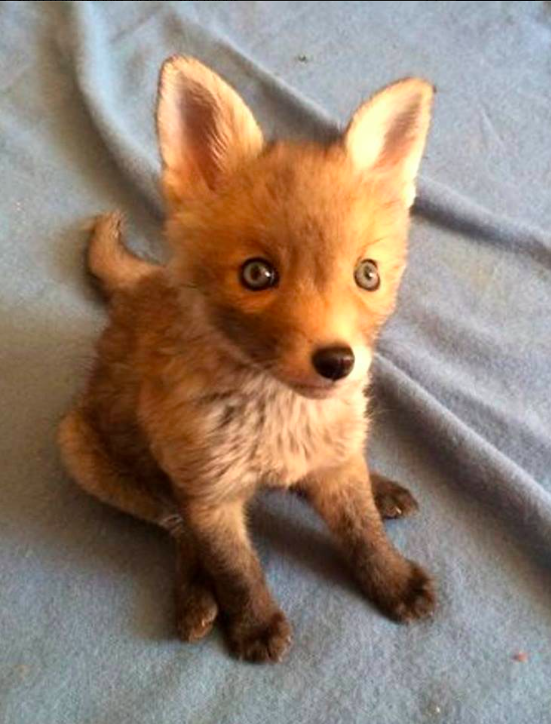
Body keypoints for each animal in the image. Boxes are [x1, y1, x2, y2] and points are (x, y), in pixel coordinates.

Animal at [58, 56, 436, 663]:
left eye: (367, 275)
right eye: (257, 274)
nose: (337, 361)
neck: (279, 423)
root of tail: (144, 284)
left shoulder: (333, 468)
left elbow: (362, 531)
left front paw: (392, 580)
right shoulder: (210, 497)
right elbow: (234, 568)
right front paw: (255, 624)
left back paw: (382, 487)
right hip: (84, 454)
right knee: (175, 528)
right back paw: (194, 595)